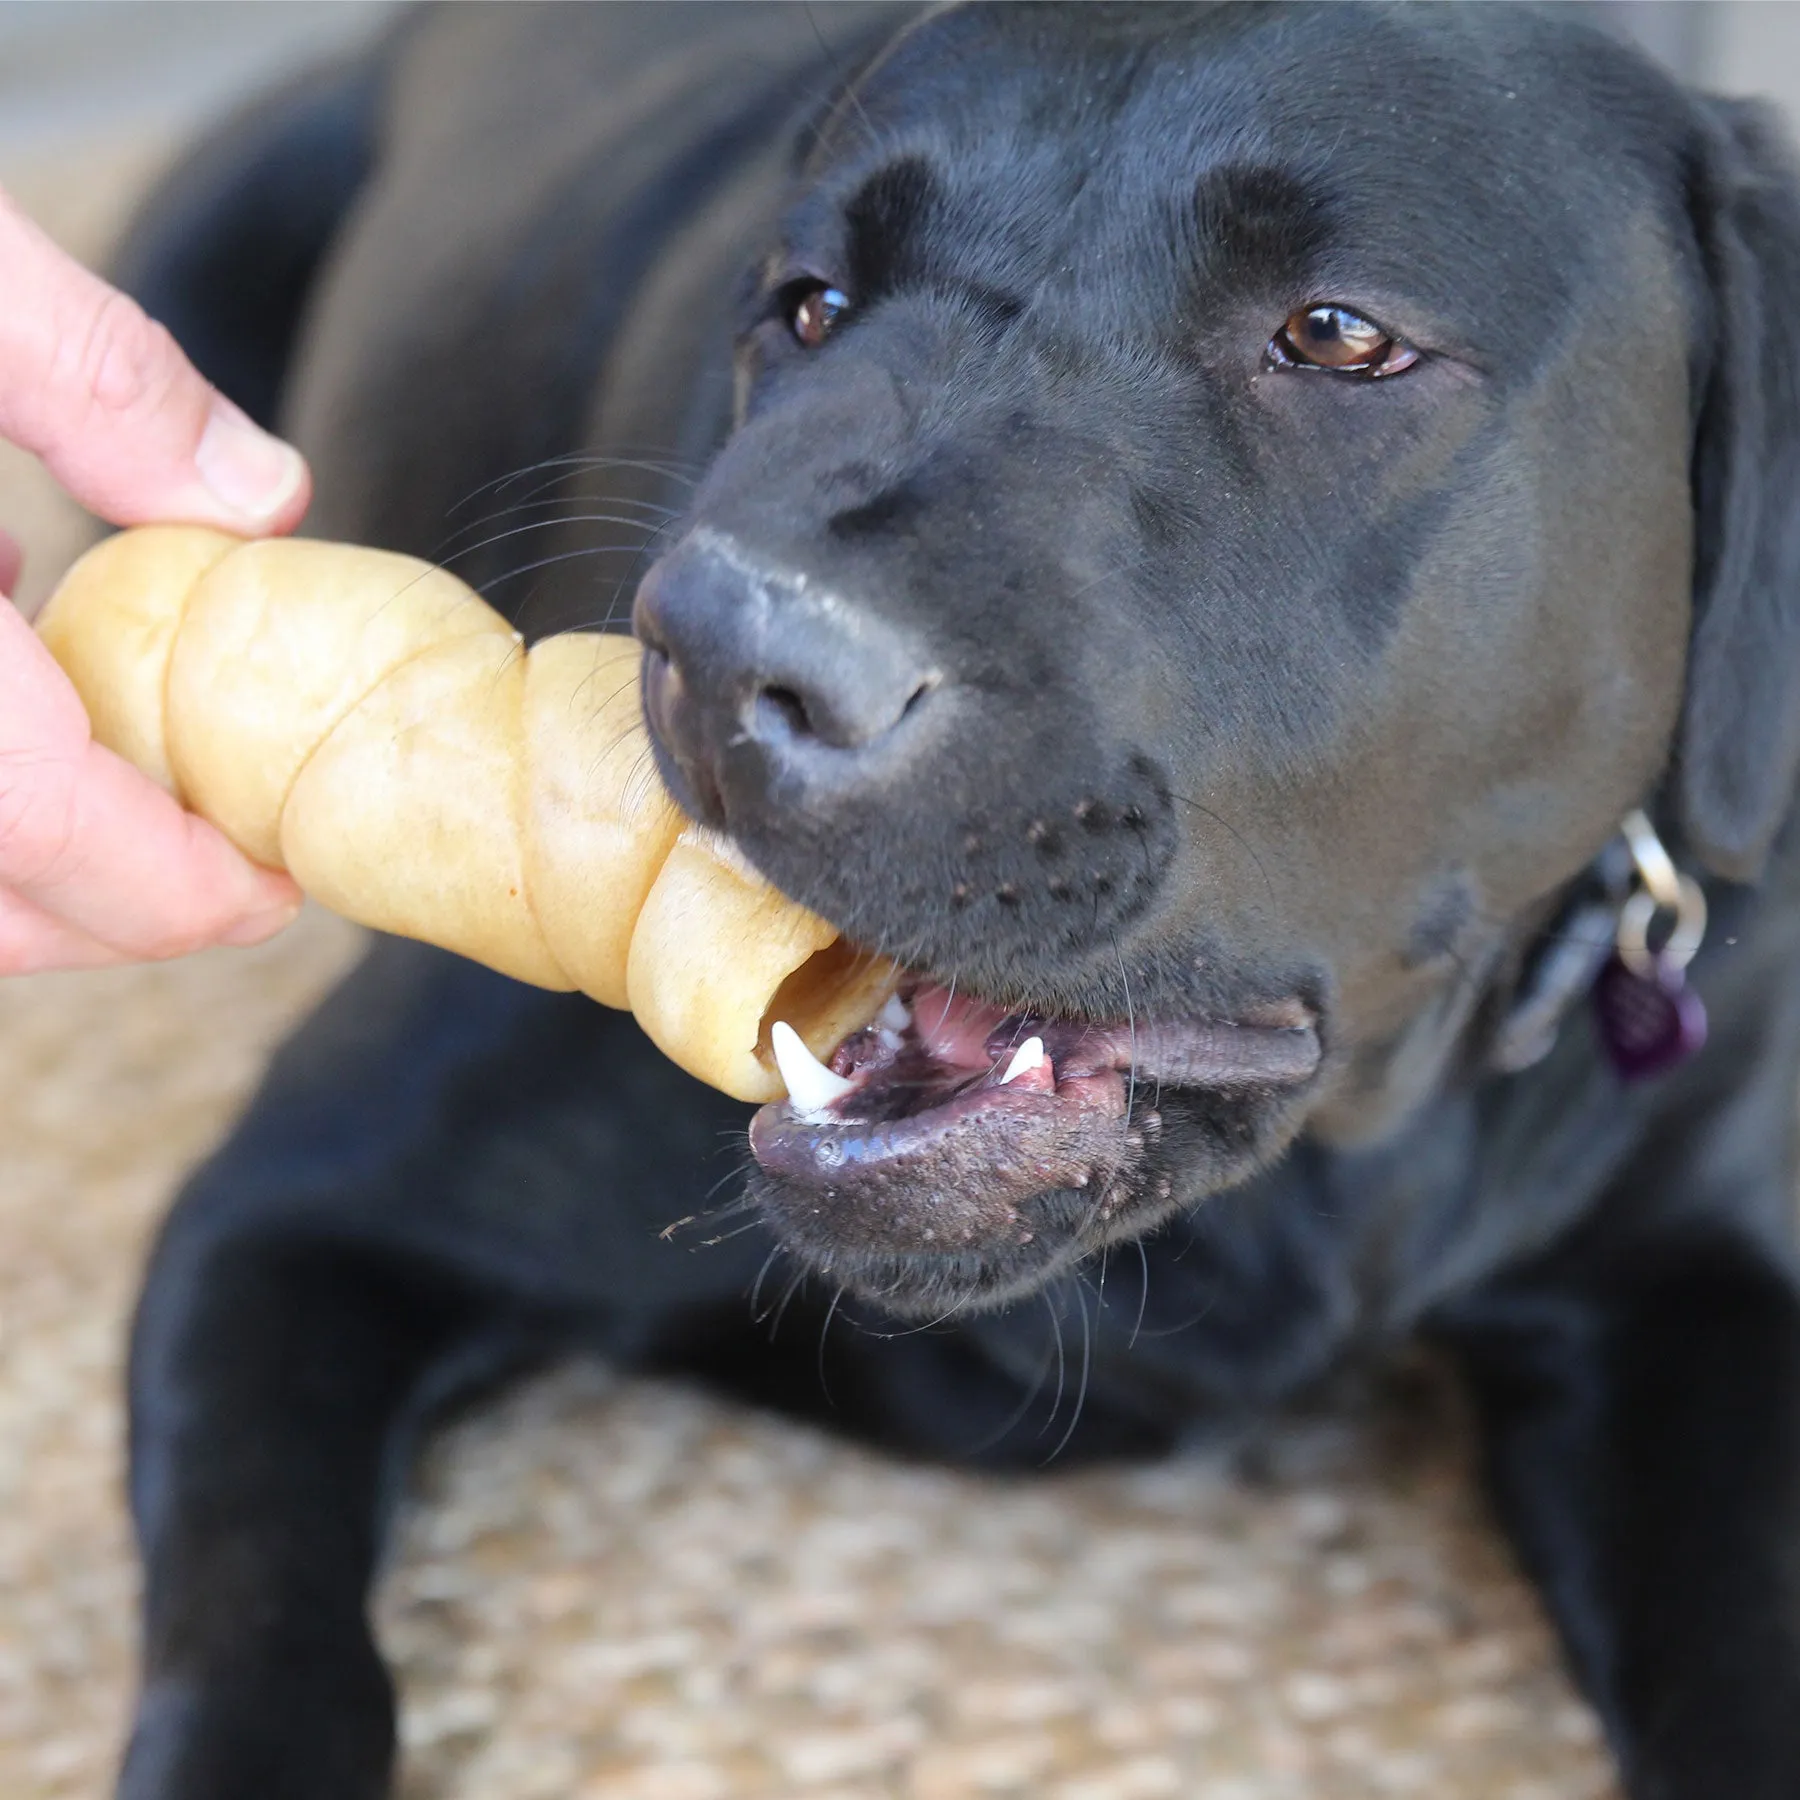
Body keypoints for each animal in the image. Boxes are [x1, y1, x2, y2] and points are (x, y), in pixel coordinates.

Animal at [108, 7, 1800, 1792]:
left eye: (1339, 337)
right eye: (811, 306)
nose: (727, 655)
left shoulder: (1706, 1294)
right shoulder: (303, 1198)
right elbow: (267, 1629)